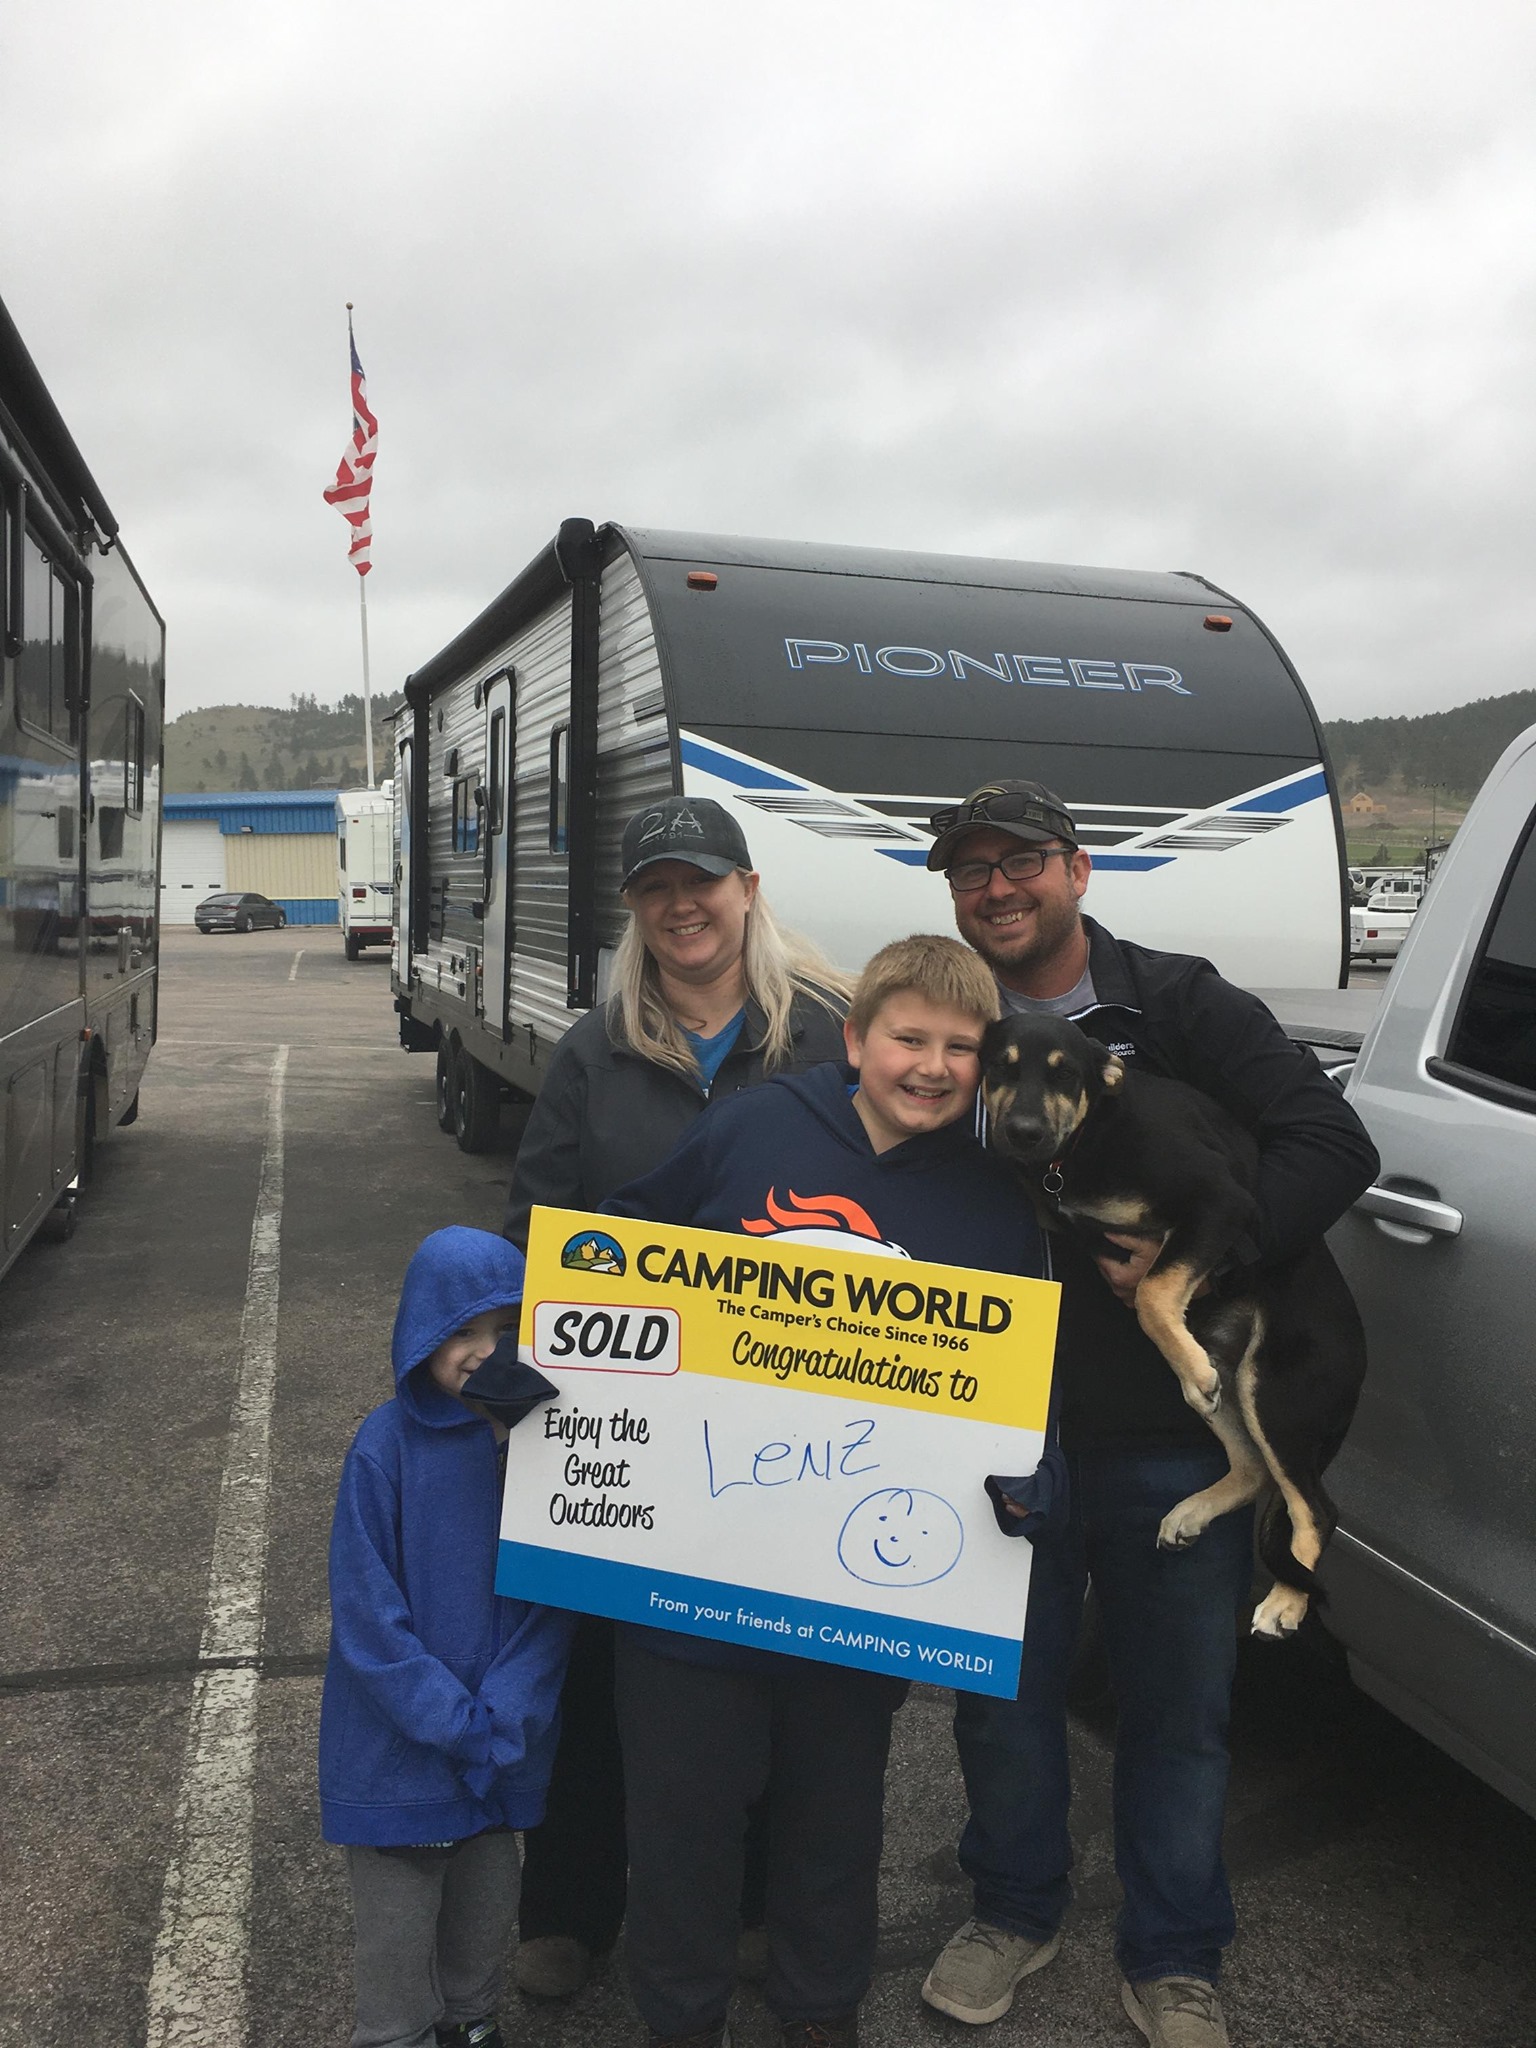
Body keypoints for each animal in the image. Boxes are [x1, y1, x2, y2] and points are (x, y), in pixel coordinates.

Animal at [980, 1011, 1366, 1638]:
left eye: (1065, 1075)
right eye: (1000, 1066)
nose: (1023, 1133)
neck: (1084, 1142)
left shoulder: (1220, 1203)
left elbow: (1150, 1291)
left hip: (1275, 1394)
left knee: (1314, 1507)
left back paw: (1287, 1601)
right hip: (1228, 1373)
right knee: (1252, 1467)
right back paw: (1193, 1508)